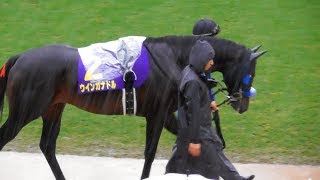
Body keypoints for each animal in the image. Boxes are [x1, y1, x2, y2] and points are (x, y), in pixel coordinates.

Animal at [0, 35, 264, 179]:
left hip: (54, 109)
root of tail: (20, 57)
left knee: (47, 146)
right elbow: (150, 153)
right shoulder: (157, 115)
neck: (173, 58)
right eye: (250, 73)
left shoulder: (168, 114)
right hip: (25, 112)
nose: (242, 104)